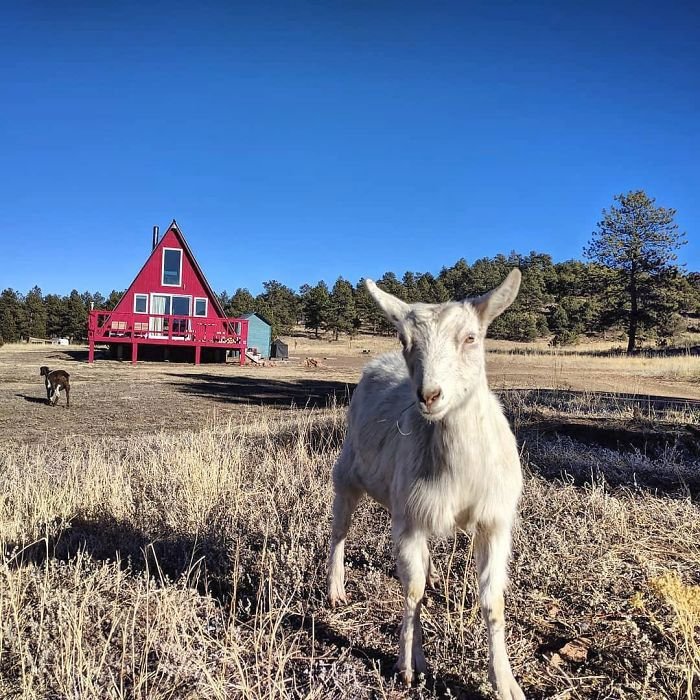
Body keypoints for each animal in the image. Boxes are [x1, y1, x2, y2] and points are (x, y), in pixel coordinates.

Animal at [328, 270, 524, 700]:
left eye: (471, 338)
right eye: (405, 340)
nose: (430, 395)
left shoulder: (493, 520)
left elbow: (493, 601)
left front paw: (505, 681)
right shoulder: (409, 520)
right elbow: (412, 591)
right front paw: (409, 664)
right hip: (348, 468)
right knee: (340, 528)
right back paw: (334, 587)